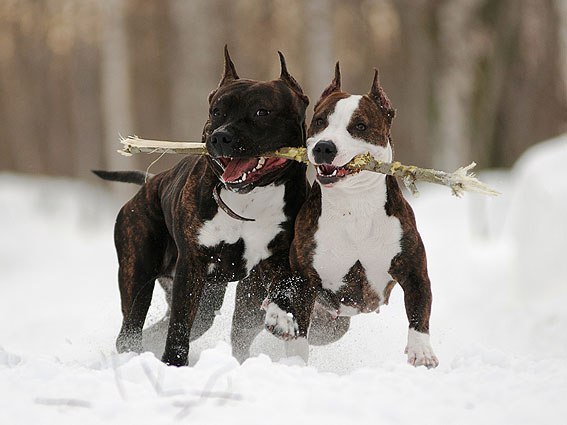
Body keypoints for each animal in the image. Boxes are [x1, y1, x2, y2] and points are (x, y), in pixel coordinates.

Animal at [97, 47, 310, 364]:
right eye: (216, 112)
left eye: (262, 112)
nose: (221, 135)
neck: (249, 200)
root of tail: (149, 182)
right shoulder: (192, 266)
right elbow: (179, 324)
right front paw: (174, 364)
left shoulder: (282, 258)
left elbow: (287, 286)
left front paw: (282, 317)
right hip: (138, 274)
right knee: (131, 329)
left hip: (210, 300)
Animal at [264, 63, 442, 368]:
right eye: (320, 121)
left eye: (360, 126)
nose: (324, 147)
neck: (354, 204)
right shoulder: (305, 277)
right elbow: (297, 322)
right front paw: (296, 363)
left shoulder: (413, 269)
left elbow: (419, 311)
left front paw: (421, 351)